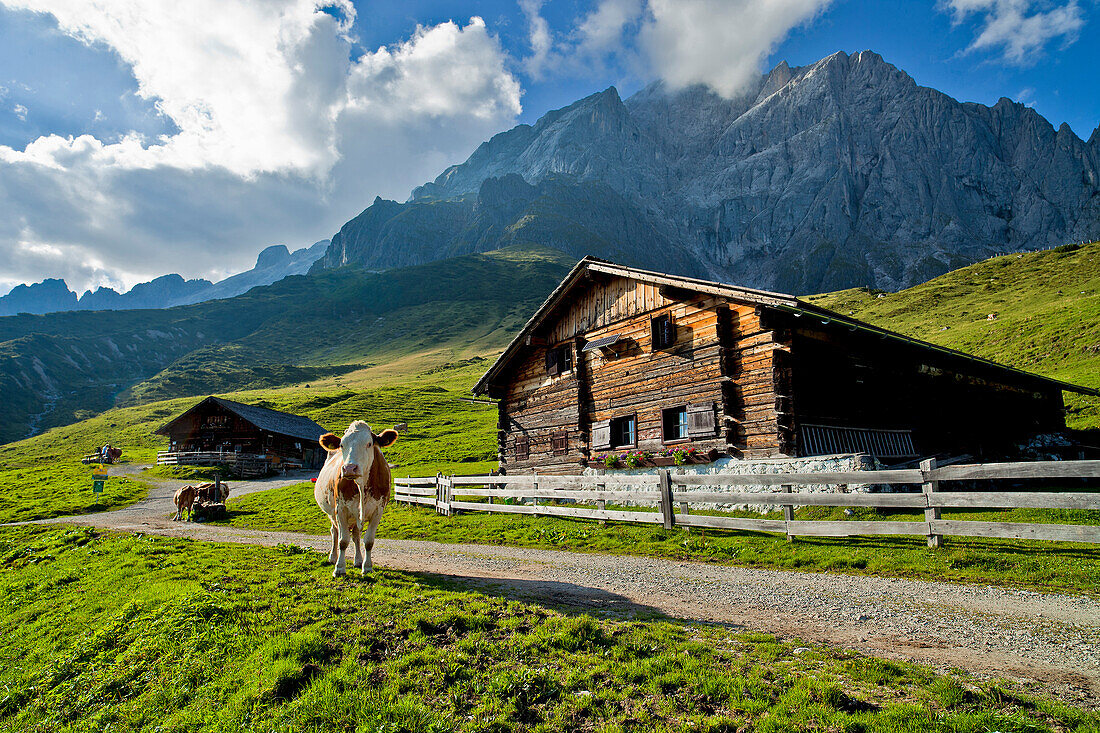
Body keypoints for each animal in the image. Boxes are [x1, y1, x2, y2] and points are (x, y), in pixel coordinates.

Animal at [314, 420, 400, 572]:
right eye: (342, 444)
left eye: (369, 443)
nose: (349, 468)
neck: (361, 485)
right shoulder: (340, 509)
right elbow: (343, 541)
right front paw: (339, 568)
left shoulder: (378, 511)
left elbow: (368, 541)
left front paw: (367, 567)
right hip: (331, 513)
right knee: (334, 532)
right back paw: (333, 557)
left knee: (355, 536)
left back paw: (358, 560)